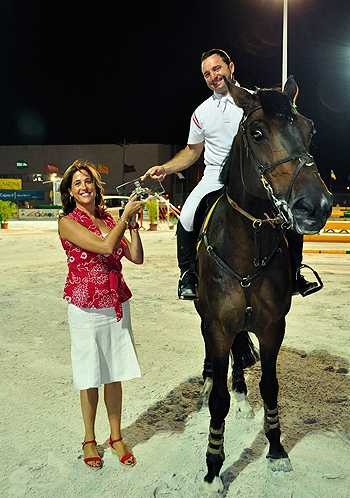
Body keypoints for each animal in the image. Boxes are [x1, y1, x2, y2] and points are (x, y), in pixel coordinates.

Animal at [196, 76, 332, 496]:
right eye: (256, 132)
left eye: (310, 128)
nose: (316, 206)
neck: (247, 247)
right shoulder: (218, 326)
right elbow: (218, 401)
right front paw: (213, 468)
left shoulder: (273, 327)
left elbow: (270, 386)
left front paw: (275, 449)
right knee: (216, 363)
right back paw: (209, 378)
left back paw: (242, 397)